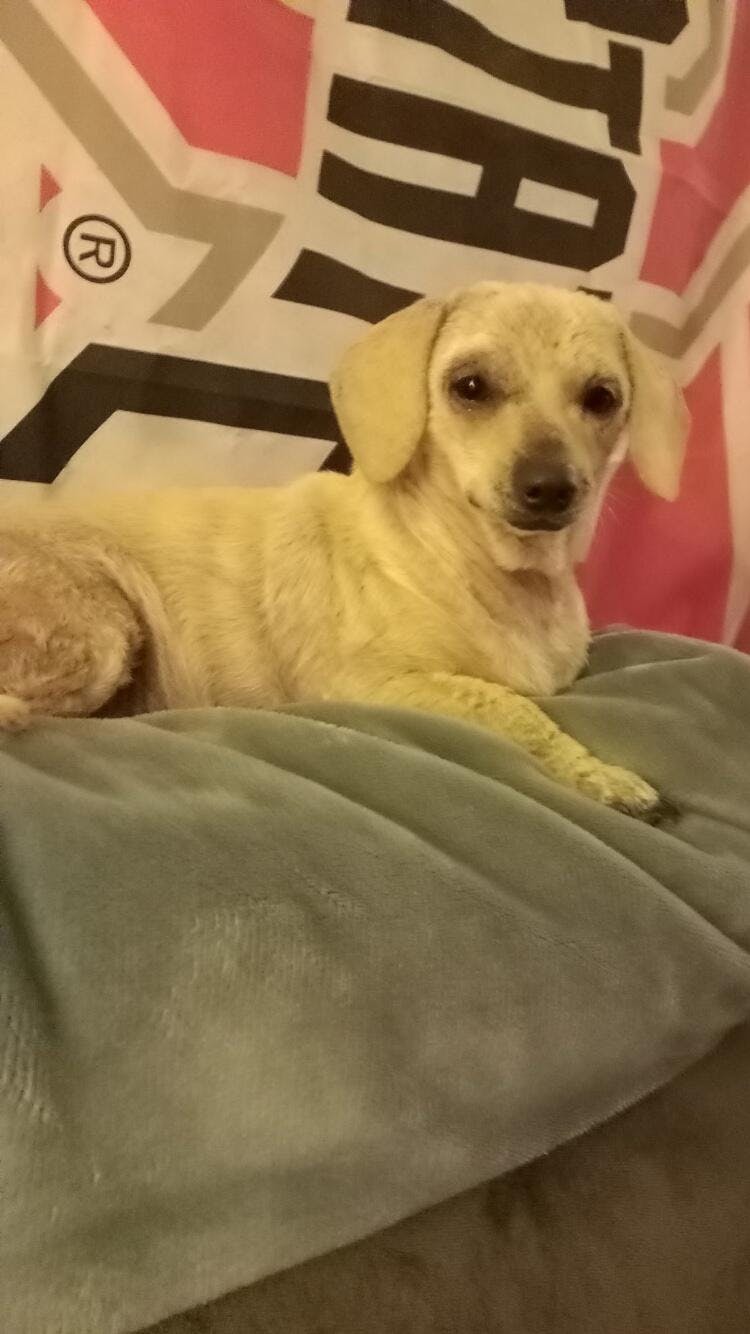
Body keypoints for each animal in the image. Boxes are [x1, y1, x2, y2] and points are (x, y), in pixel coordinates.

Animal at [0, 282, 688, 817]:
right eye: (469, 386)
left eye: (602, 398)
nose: (551, 487)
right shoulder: (367, 685)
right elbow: (511, 706)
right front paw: (602, 775)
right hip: (102, 638)